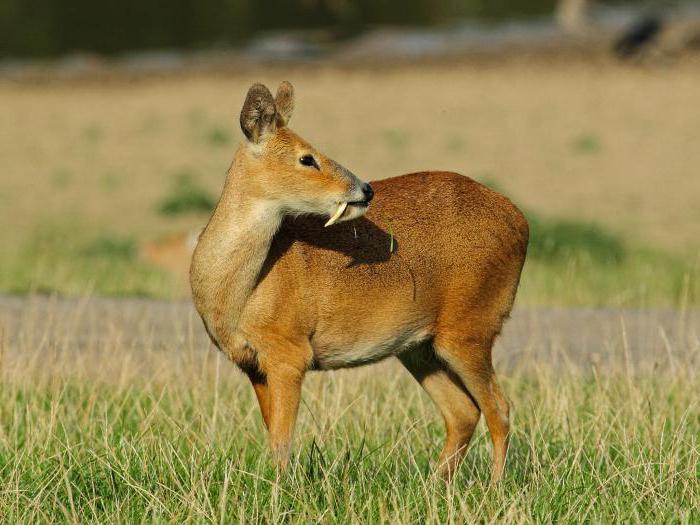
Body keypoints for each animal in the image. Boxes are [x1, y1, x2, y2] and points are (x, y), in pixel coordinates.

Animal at [189, 81, 528, 478]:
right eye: (307, 158)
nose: (365, 189)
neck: (240, 292)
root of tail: (520, 220)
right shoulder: (252, 364)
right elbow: (274, 434)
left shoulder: (289, 351)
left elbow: (282, 442)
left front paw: (280, 489)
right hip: (420, 347)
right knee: (464, 412)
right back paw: (435, 484)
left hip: (470, 328)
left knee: (499, 409)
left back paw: (493, 486)